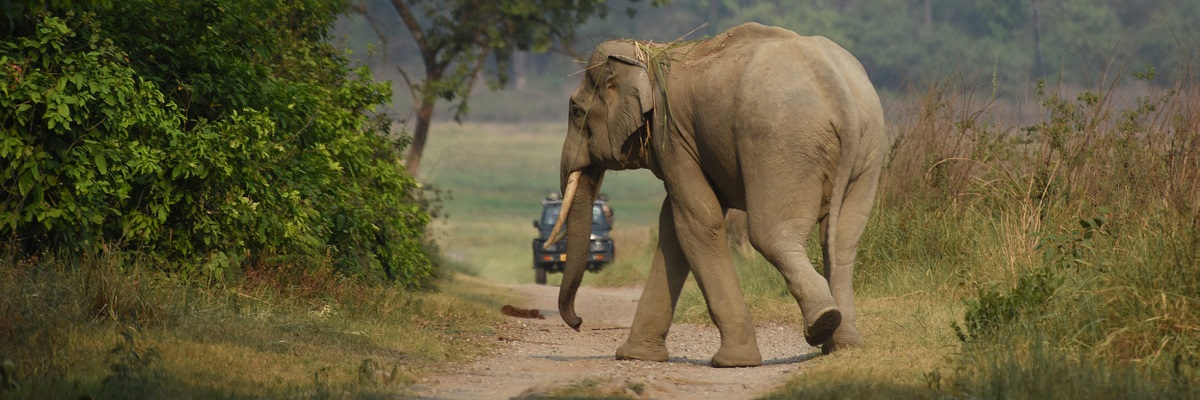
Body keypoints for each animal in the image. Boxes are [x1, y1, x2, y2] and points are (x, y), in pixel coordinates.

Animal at [547, 22, 892, 367]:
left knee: (771, 236)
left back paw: (822, 323)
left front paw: (733, 361)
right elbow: (673, 226)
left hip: (782, 146)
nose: (578, 323)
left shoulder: (671, 136)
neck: (649, 52)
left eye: (576, 111)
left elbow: (696, 221)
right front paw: (635, 355)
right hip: (867, 147)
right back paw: (845, 344)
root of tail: (840, 93)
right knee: (843, 241)